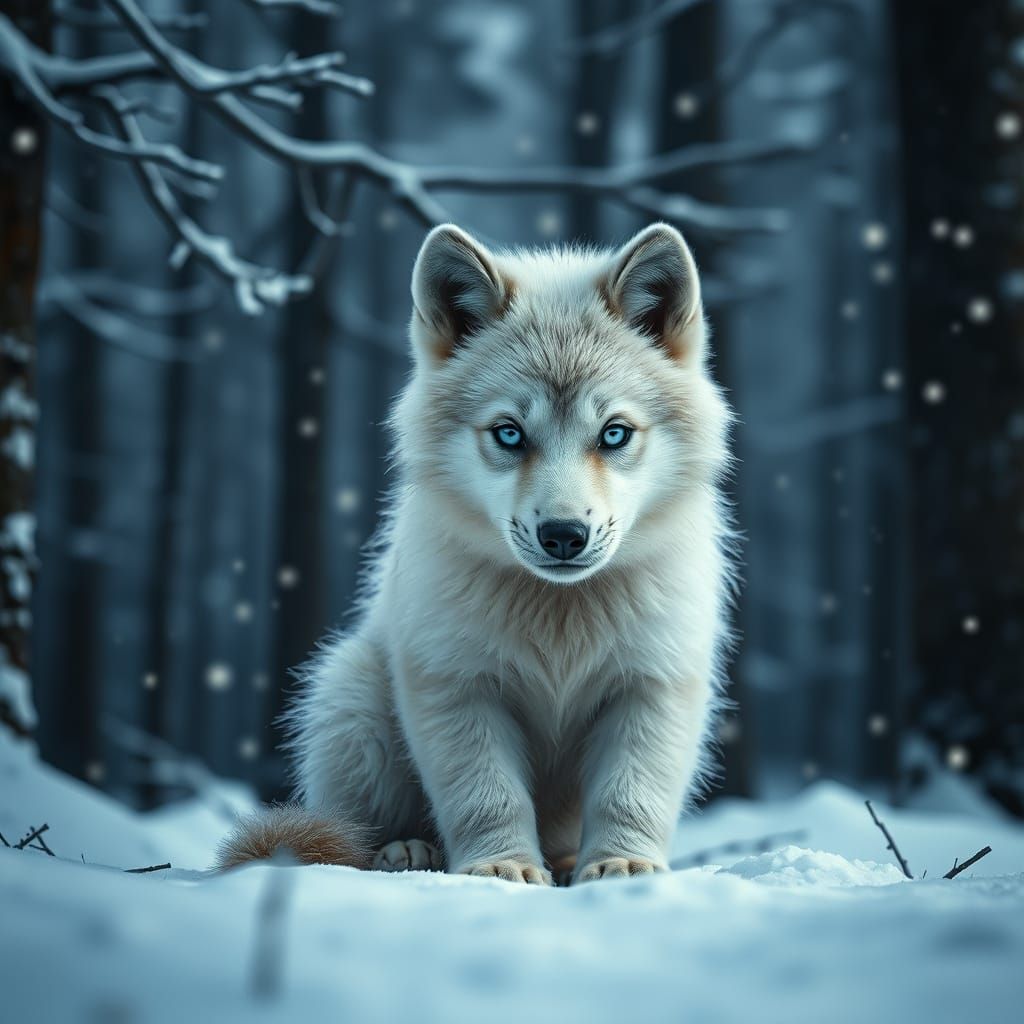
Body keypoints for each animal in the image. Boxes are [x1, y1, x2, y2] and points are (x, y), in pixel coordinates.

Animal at [218, 222, 735, 885]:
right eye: (509, 433)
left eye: (614, 433)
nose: (563, 535)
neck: (560, 615)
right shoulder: (457, 685)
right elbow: (487, 794)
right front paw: (501, 867)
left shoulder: (654, 684)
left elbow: (630, 791)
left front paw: (620, 863)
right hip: (351, 696)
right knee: (355, 831)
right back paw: (406, 852)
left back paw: (564, 860)